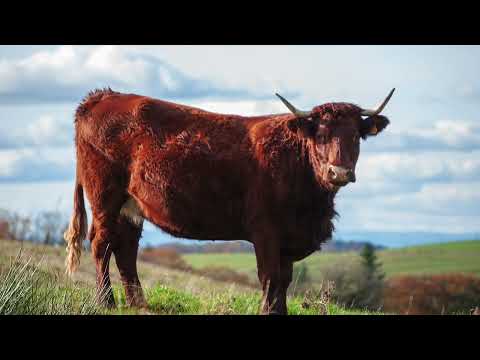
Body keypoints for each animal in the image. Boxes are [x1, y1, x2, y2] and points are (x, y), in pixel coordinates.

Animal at [63, 88, 394, 316]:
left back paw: (138, 303)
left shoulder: (288, 235)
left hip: (131, 206)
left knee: (126, 249)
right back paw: (106, 302)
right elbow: (270, 277)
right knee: (101, 244)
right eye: (321, 135)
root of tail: (102, 96)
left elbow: (284, 280)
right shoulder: (266, 231)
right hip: (105, 198)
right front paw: (267, 312)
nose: (339, 172)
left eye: (356, 137)